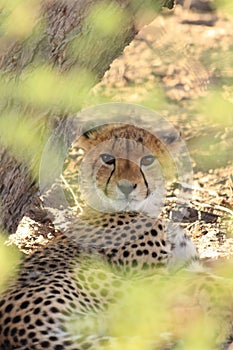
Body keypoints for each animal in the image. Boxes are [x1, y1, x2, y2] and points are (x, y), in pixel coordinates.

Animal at [0, 121, 202, 348]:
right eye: (107, 158)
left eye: (148, 160)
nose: (126, 187)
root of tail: (13, 330)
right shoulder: (152, 280)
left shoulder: (187, 265)